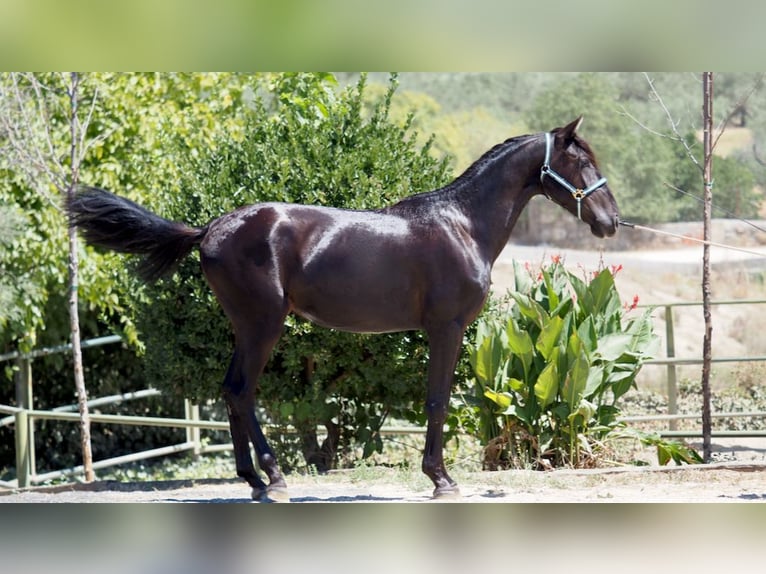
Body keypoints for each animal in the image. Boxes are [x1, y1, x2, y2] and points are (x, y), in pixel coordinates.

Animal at [66, 118, 616, 504]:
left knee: (231, 391)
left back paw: (253, 480)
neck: (461, 224)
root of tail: (211, 229)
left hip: (246, 328)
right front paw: (441, 480)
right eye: (581, 163)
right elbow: (436, 401)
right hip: (262, 325)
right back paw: (274, 479)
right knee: (242, 392)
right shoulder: (447, 328)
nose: (611, 221)